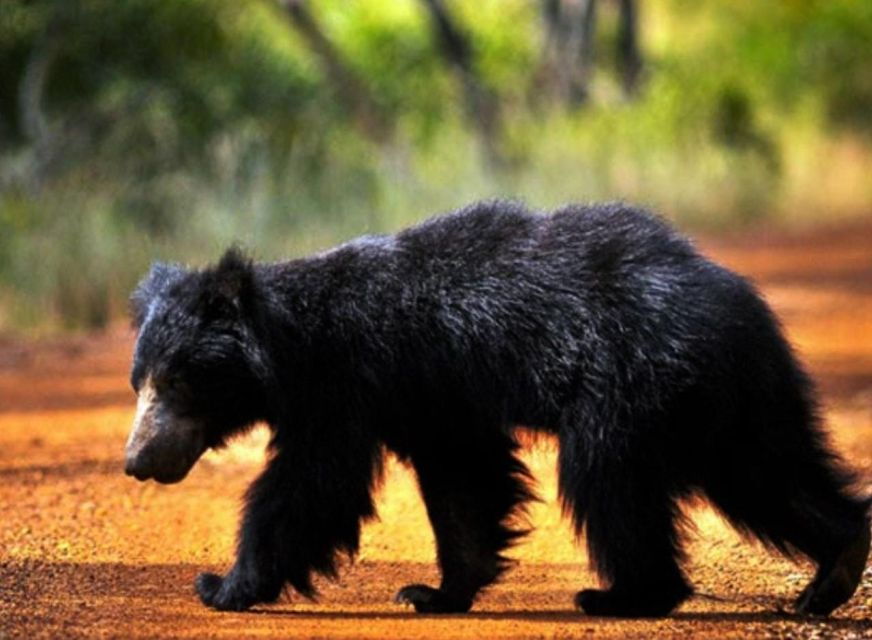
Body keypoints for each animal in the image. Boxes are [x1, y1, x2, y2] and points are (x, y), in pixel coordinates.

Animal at [126, 201, 868, 620]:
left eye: (175, 381)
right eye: (140, 382)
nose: (136, 462)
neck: (289, 342)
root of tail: (733, 298)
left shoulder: (347, 384)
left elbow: (312, 485)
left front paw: (221, 584)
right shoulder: (431, 397)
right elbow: (463, 482)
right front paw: (436, 593)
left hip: (632, 384)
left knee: (609, 483)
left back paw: (624, 596)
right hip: (731, 399)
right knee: (768, 475)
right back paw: (832, 571)